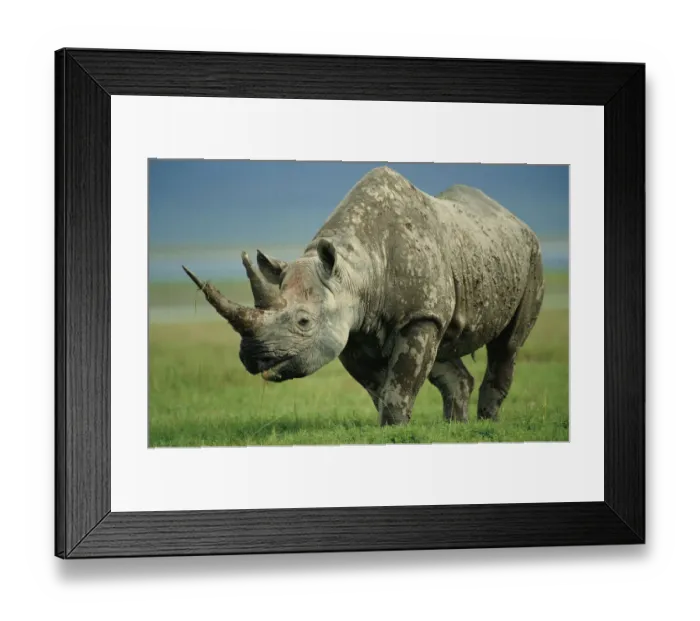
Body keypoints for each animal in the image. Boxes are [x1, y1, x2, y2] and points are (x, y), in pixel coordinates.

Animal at [183, 166, 544, 426]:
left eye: (303, 322)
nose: (253, 356)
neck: (354, 270)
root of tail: (514, 218)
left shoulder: (419, 315)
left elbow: (401, 381)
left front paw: (394, 429)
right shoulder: (350, 329)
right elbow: (381, 386)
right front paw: (390, 429)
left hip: (530, 254)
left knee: (507, 345)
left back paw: (486, 425)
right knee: (445, 349)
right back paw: (455, 428)